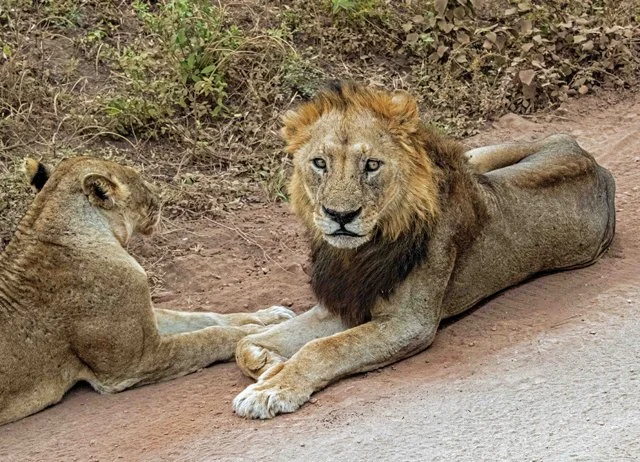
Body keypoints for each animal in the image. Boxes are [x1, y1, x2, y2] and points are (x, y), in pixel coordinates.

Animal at [0, 156, 294, 425]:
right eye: (140, 180)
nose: (160, 195)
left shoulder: (143, 314)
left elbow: (204, 317)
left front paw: (269, 316)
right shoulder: (134, 363)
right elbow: (208, 337)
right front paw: (259, 332)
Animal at [232, 81, 616, 419]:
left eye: (372, 165)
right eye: (319, 163)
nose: (340, 215)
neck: (357, 253)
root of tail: (597, 165)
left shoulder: (409, 323)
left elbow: (324, 348)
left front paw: (271, 388)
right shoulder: (344, 303)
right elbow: (244, 344)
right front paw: (269, 363)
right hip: (478, 155)